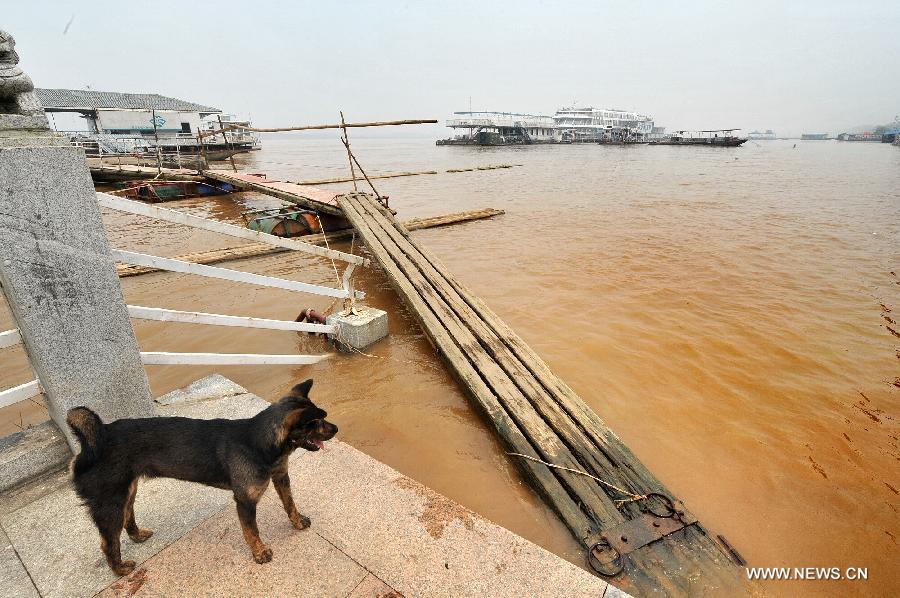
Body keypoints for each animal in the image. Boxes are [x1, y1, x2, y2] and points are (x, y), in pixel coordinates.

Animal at [65, 380, 336, 576]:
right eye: (316, 422)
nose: (336, 428)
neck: (258, 442)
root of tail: (96, 441)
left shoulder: (282, 478)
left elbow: (290, 504)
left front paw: (297, 522)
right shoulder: (245, 502)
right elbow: (252, 531)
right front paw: (259, 553)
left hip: (126, 491)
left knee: (126, 518)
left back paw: (137, 535)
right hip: (109, 503)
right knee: (108, 543)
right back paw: (120, 570)